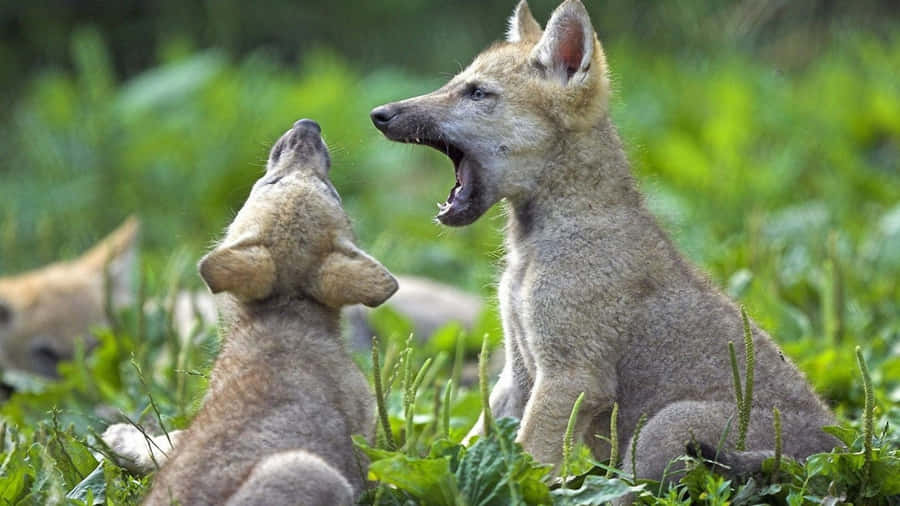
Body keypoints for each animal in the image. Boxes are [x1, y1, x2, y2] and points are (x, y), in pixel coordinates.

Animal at [116, 119, 397, 505]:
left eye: (329, 189)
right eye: (272, 182)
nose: (308, 126)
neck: (287, 311)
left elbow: (168, 441)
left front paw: (119, 439)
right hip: (310, 469)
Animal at [370, 0, 838, 482]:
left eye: (478, 93)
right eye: (456, 83)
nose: (379, 114)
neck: (533, 249)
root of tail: (831, 452)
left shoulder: (571, 376)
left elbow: (529, 460)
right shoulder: (518, 374)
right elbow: (474, 444)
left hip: (662, 429)